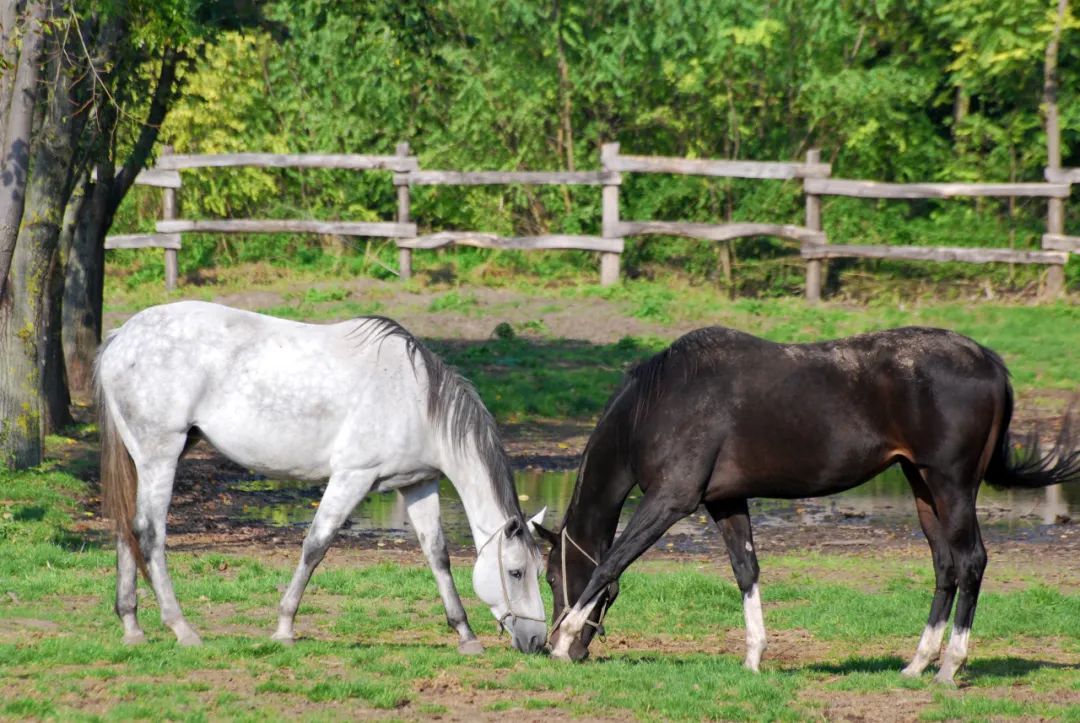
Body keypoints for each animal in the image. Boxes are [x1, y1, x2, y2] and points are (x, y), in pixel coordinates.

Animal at [93, 300, 548, 652]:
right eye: (516, 572)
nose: (536, 641)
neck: (416, 399)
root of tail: (122, 336)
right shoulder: (352, 478)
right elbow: (316, 545)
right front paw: (284, 628)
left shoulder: (418, 484)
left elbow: (437, 555)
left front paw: (465, 634)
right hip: (161, 454)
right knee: (149, 532)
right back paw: (182, 629)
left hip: (145, 458)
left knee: (126, 528)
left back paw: (132, 627)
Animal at [540, 326, 1080, 683]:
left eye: (549, 577)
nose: (549, 647)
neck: (661, 402)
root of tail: (987, 358)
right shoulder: (726, 501)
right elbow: (746, 571)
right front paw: (754, 658)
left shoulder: (671, 500)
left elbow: (610, 563)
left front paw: (564, 639)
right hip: (922, 486)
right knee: (945, 566)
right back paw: (916, 663)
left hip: (952, 485)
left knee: (970, 562)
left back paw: (950, 667)